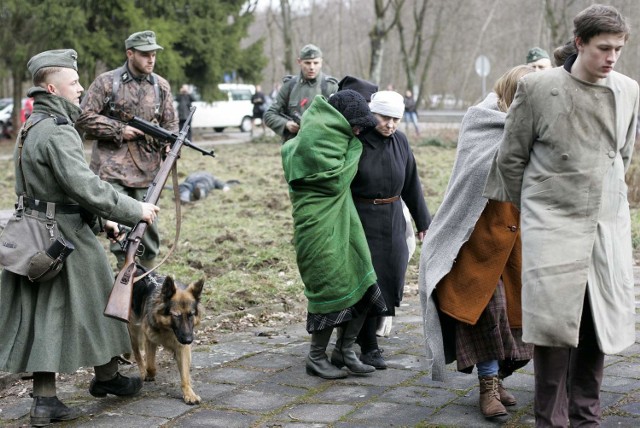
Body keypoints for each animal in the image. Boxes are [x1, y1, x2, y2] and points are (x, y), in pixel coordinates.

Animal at [126, 268, 204, 404]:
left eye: (191, 315)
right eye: (176, 315)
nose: (189, 340)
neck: (168, 329)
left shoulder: (182, 347)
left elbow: (185, 374)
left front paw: (189, 393)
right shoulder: (149, 339)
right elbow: (151, 366)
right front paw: (148, 374)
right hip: (134, 330)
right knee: (137, 353)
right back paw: (142, 371)